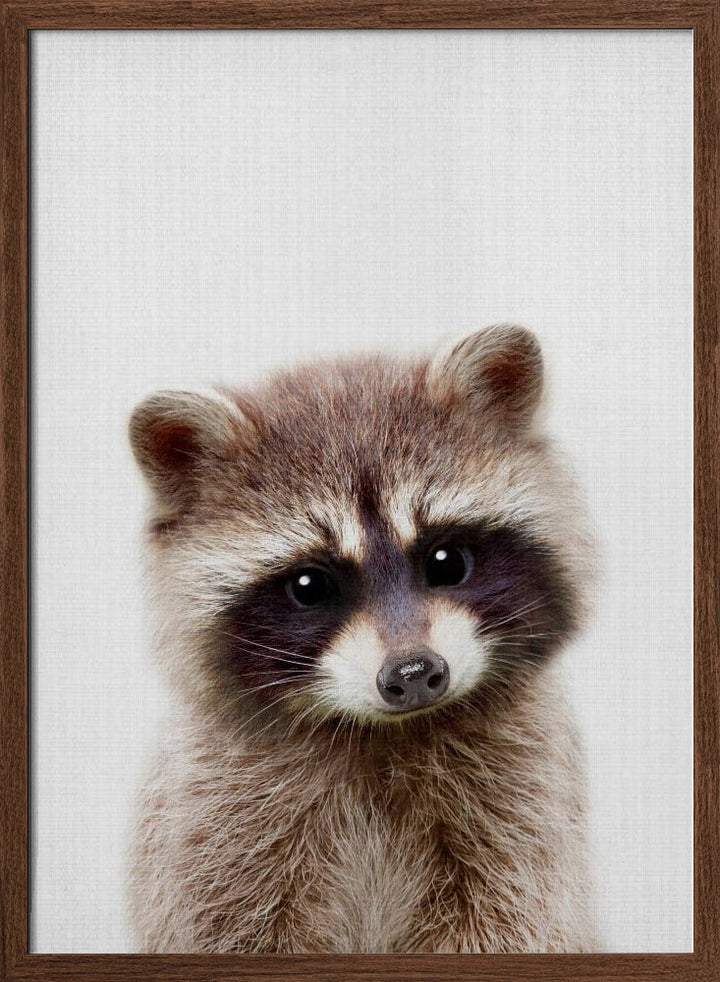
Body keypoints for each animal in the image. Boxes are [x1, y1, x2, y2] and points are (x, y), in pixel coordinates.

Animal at [128, 324, 597, 954]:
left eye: (447, 561)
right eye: (309, 585)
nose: (414, 674)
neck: (381, 735)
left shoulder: (523, 807)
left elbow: (513, 920)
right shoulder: (215, 824)